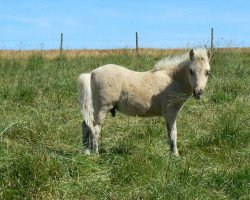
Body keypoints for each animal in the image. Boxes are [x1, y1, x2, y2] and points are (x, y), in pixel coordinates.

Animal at [77, 48, 211, 156]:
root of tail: (91, 73)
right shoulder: (170, 112)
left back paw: (86, 153)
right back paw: (96, 155)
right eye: (190, 71)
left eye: (207, 72)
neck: (172, 80)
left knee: (86, 126)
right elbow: (172, 133)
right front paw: (175, 156)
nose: (198, 92)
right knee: (95, 129)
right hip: (101, 109)